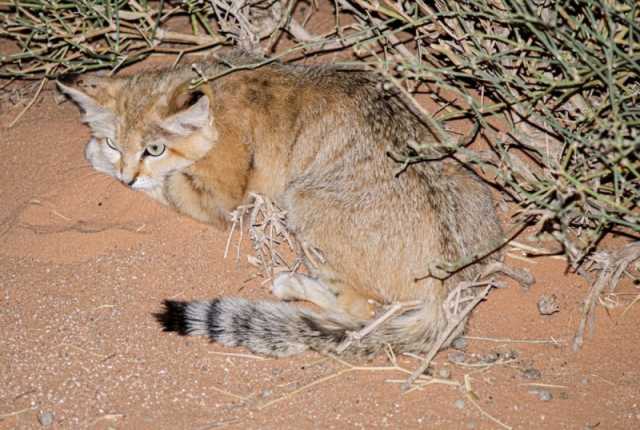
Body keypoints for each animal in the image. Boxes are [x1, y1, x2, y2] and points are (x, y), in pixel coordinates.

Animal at [57, 53, 502, 356]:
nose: (124, 176)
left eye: (155, 149)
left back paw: (291, 284)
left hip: (302, 201)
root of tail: (452, 294)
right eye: (116, 142)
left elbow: (161, 184)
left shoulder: (217, 198)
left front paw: (98, 158)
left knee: (359, 311)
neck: (215, 94)